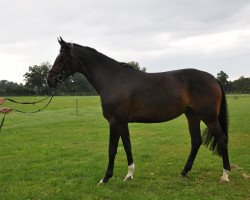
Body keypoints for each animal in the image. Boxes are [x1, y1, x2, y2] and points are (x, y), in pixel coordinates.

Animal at [47, 37, 230, 183]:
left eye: (62, 57)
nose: (50, 80)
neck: (113, 79)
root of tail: (213, 78)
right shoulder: (122, 122)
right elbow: (127, 145)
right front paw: (129, 175)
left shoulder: (114, 122)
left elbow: (112, 149)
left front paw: (105, 178)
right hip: (192, 116)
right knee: (196, 141)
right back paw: (184, 172)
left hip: (209, 117)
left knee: (222, 139)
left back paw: (225, 175)